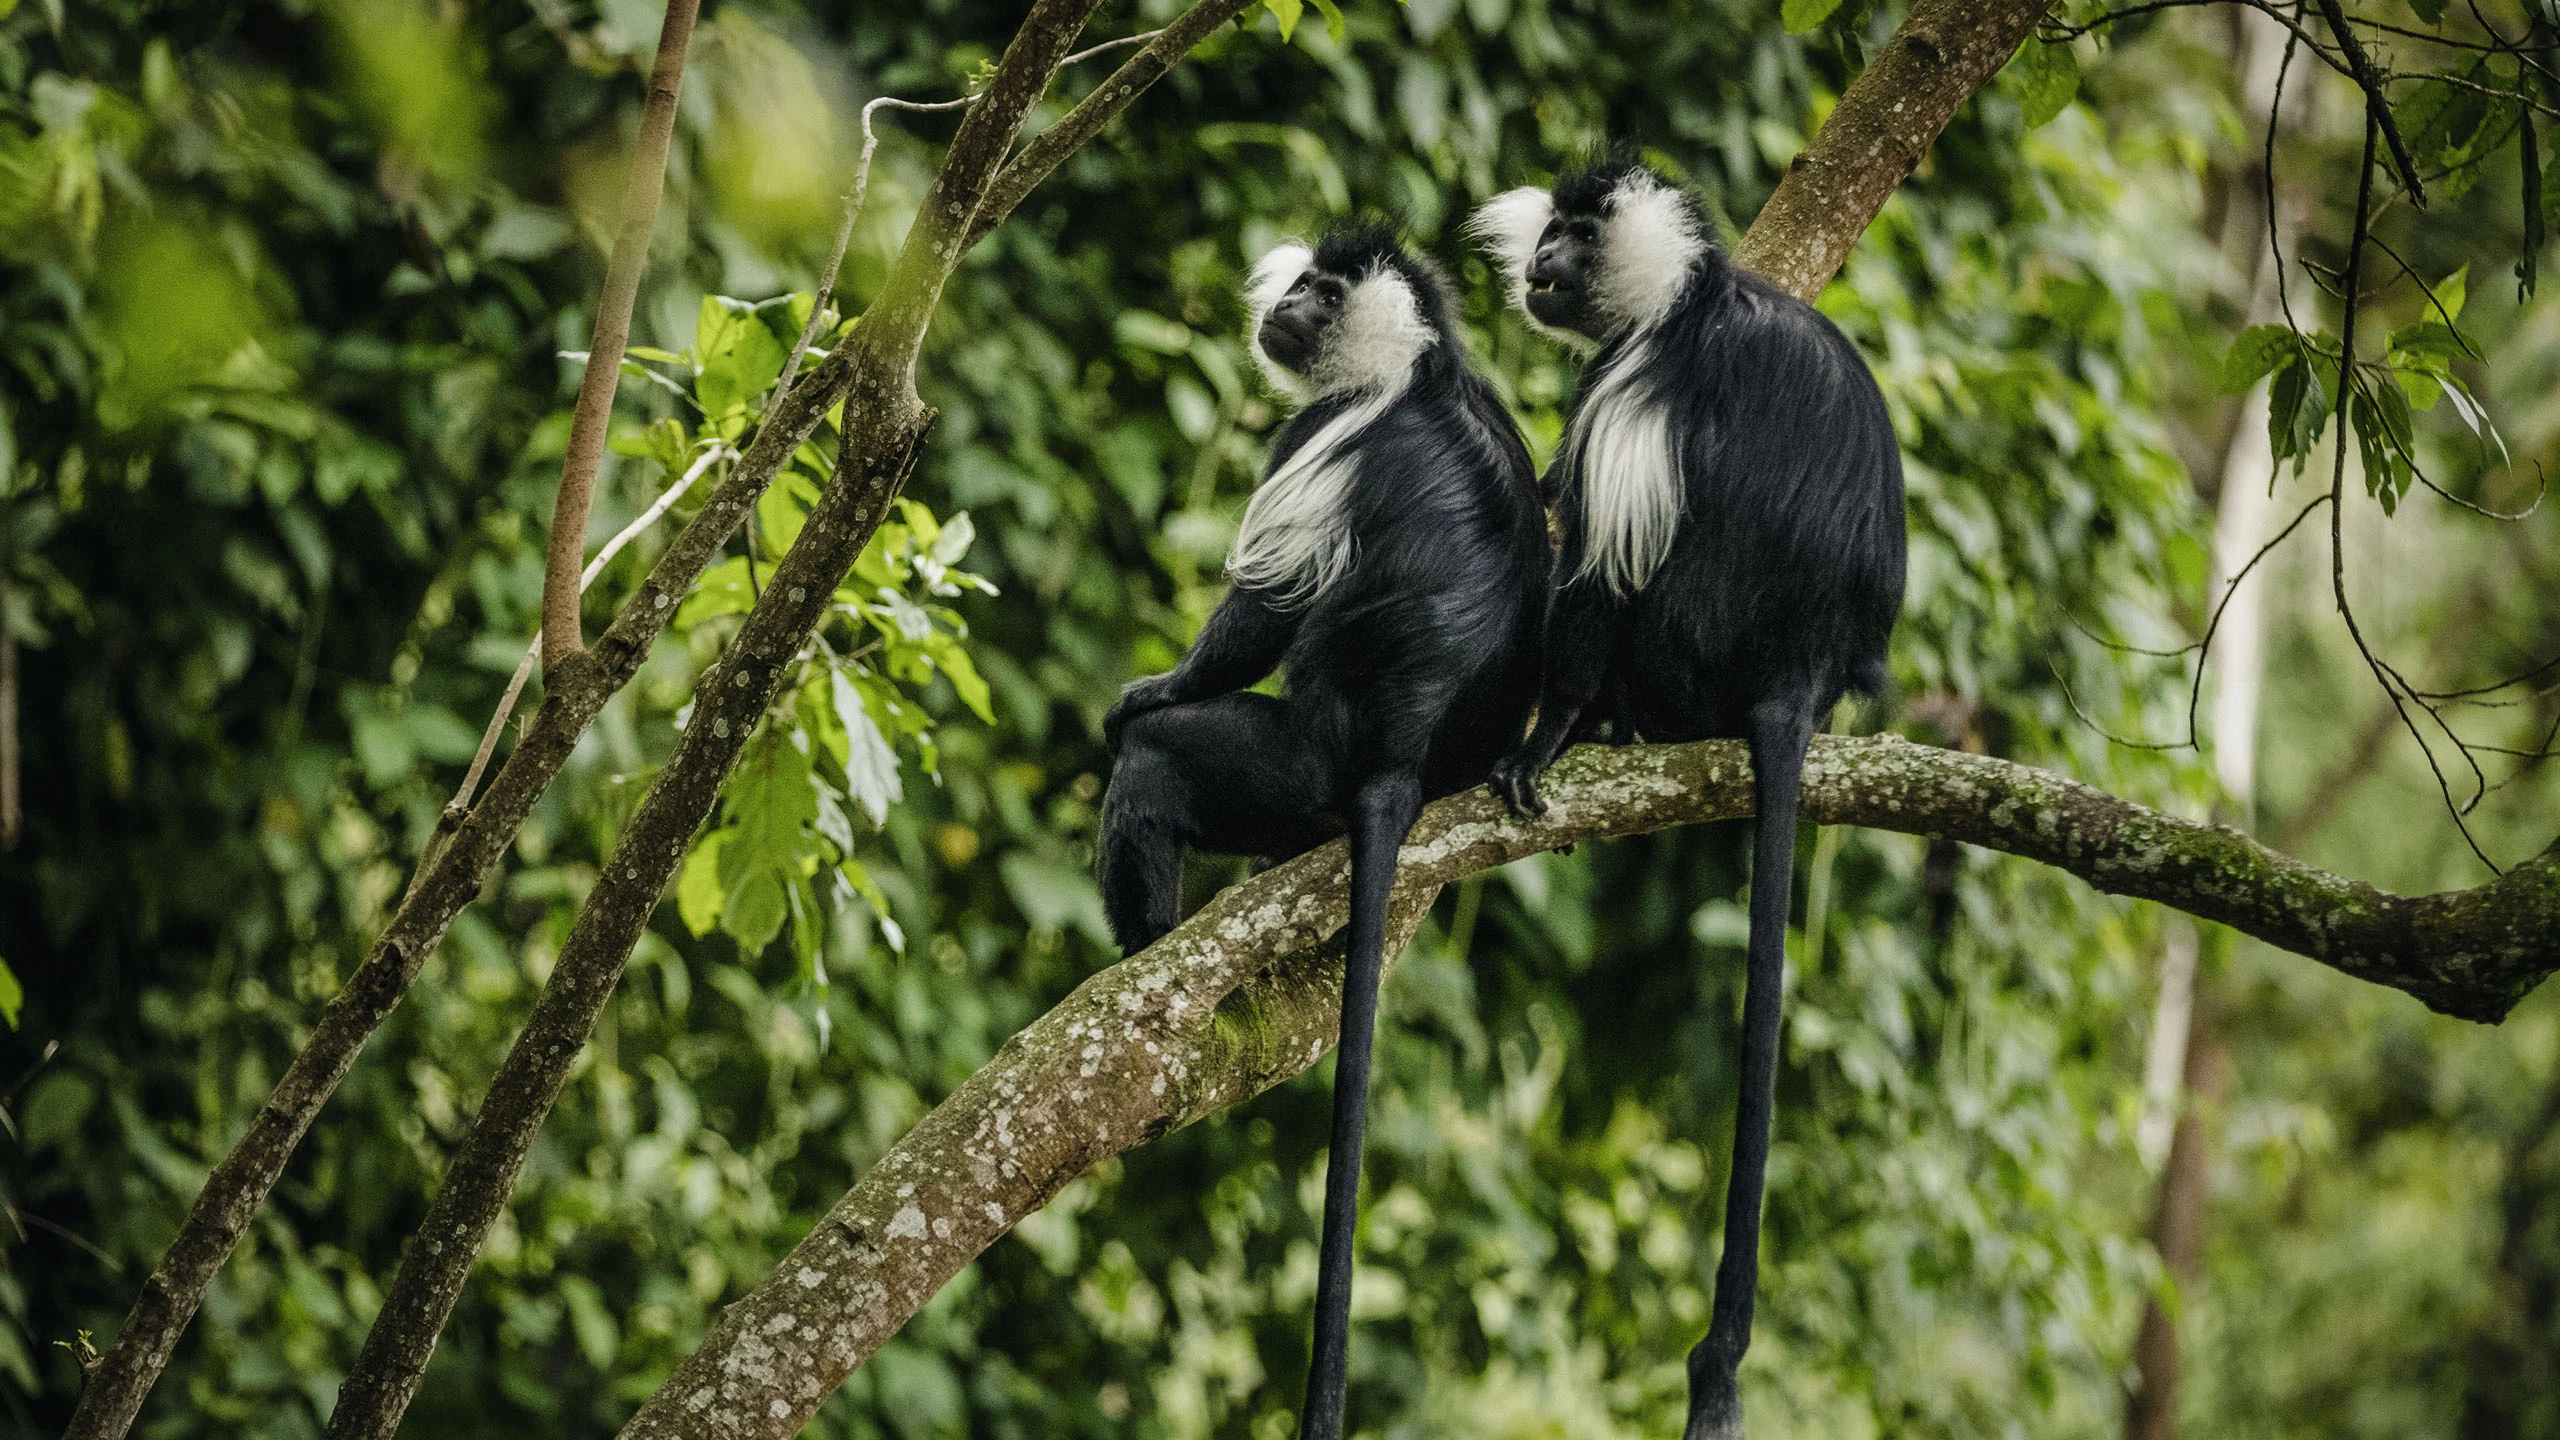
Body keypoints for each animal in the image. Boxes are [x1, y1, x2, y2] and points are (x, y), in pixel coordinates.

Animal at [1097, 225, 1548, 1440]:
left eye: (1324, 292)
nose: (1287, 304)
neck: (1417, 365)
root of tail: (1396, 758)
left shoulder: (1321, 437)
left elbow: (1262, 612)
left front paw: (1152, 688)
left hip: (1289, 765)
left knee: (1159, 768)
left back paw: (1140, 948)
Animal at [1469, 158, 1905, 1440]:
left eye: (1574, 237)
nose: (1538, 264)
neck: (1687, 295)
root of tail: (1796, 669)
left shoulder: (1634, 386)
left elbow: (1598, 571)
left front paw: (1546, 735)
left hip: (1686, 644)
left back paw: (1597, 726)